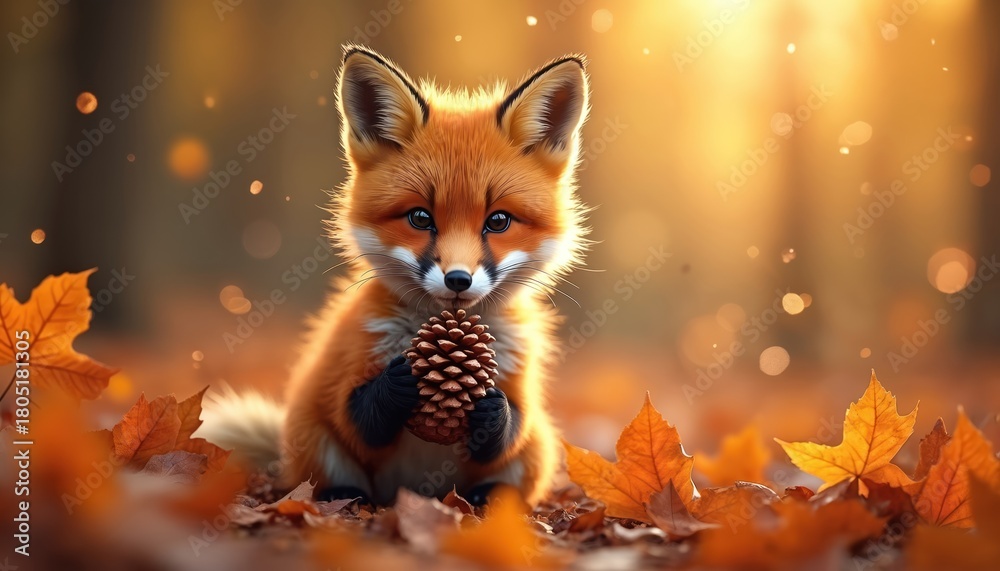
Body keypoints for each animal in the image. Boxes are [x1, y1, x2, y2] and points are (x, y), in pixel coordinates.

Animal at [199, 45, 590, 507]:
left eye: (498, 221)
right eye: (420, 218)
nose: (458, 280)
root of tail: (423, 492)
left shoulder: (518, 384)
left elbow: (510, 428)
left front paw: (494, 412)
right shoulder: (346, 369)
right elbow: (357, 417)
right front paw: (394, 386)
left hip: (539, 450)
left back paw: (487, 502)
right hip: (311, 433)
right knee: (331, 481)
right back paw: (345, 498)